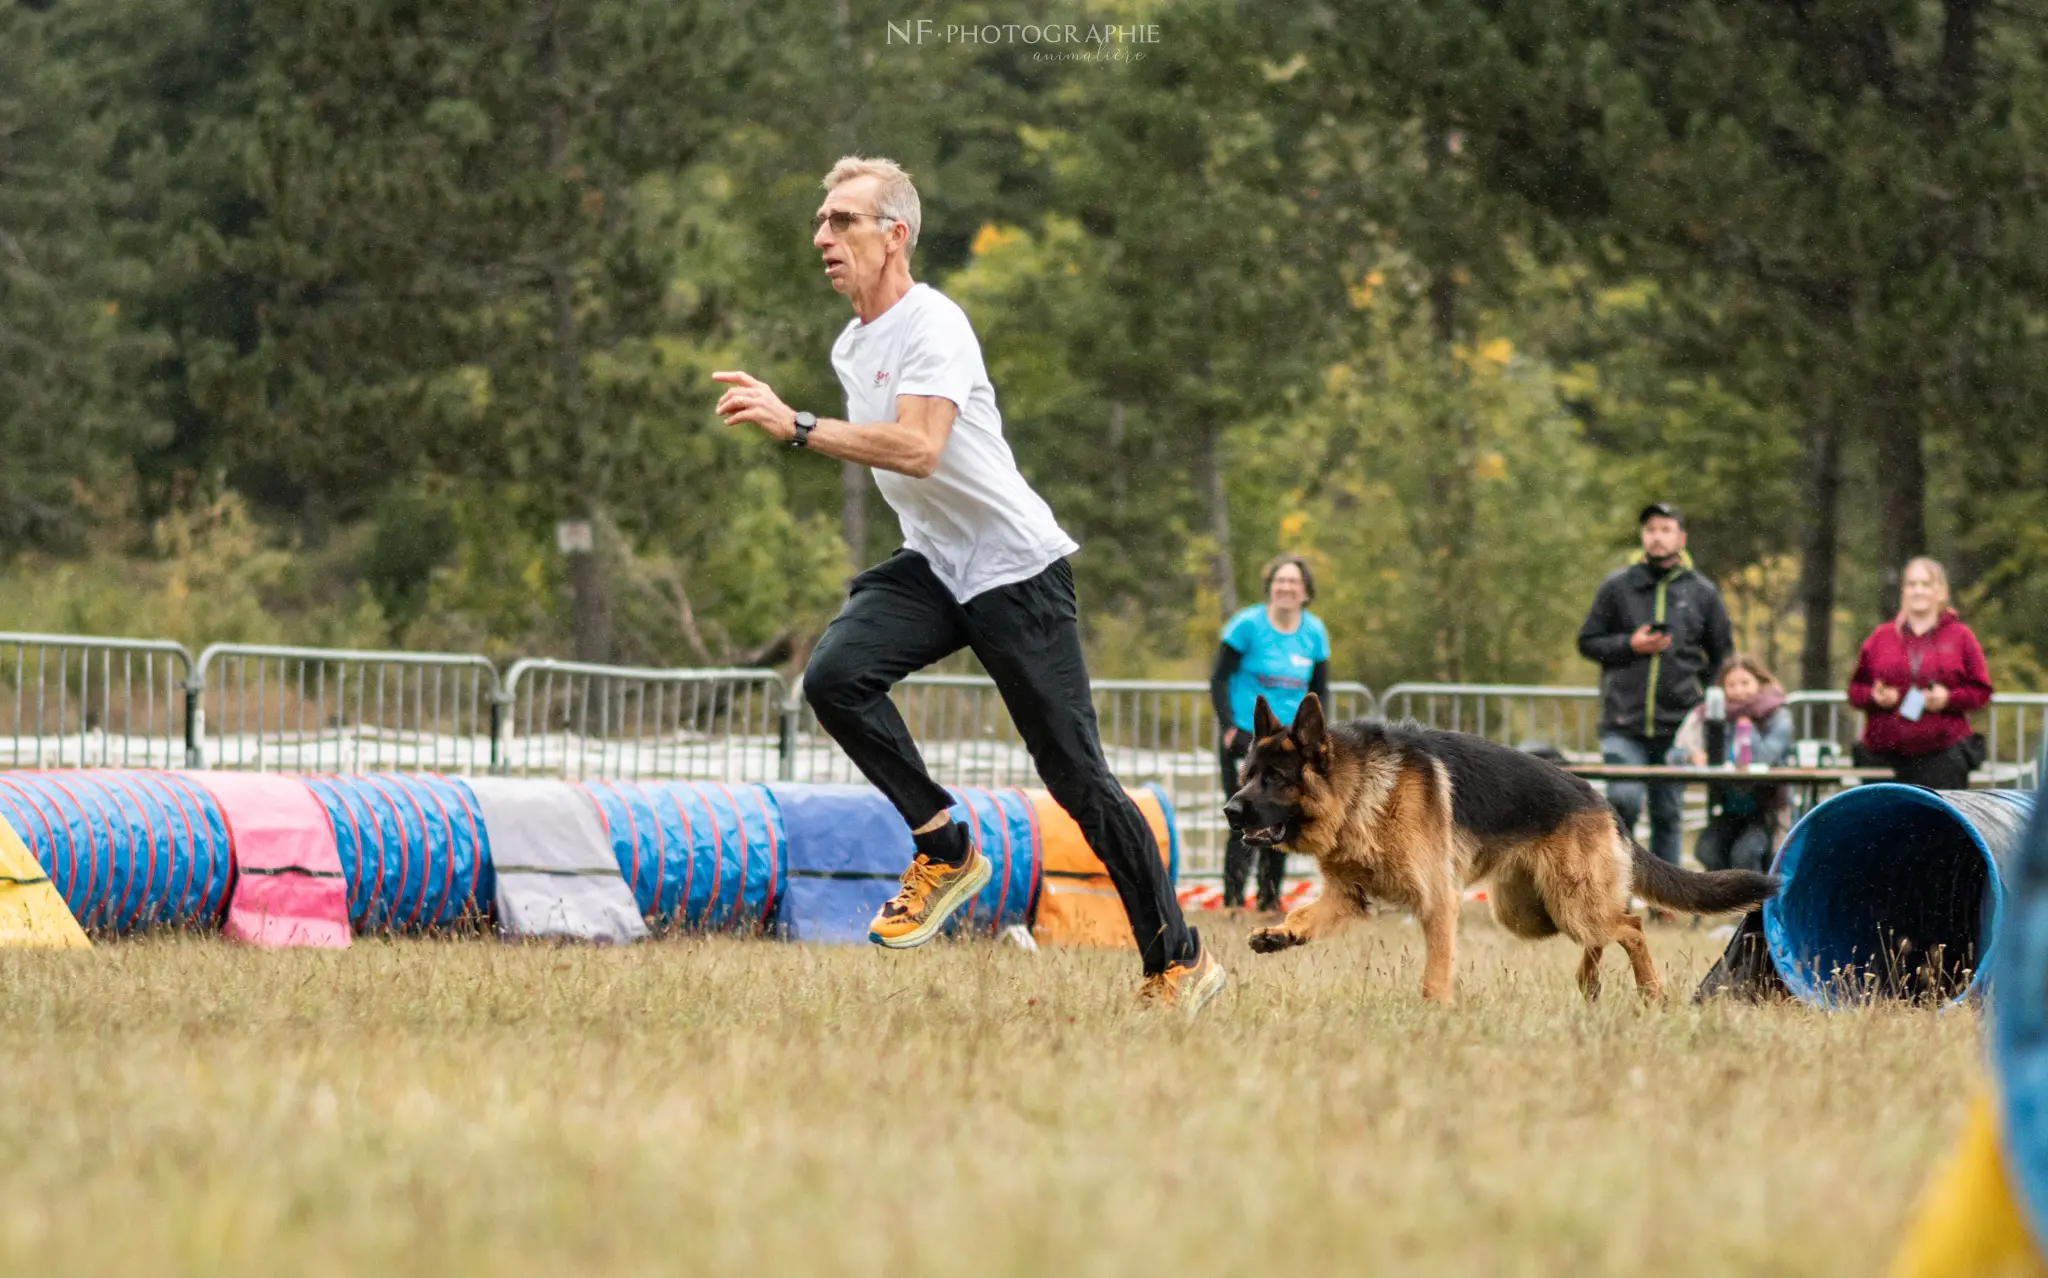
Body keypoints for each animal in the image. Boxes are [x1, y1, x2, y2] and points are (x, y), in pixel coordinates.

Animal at [1220, 692, 1785, 1003]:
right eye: (1247, 775)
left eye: (1275, 779)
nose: (1228, 810)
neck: (1359, 790)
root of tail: (1604, 802)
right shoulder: (1346, 897)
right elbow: (1304, 915)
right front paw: (1279, 933)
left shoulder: (1438, 903)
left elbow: (1436, 970)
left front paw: (1434, 1013)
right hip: (1530, 913)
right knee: (1606, 931)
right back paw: (1589, 985)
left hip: (1567, 901)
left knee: (1630, 925)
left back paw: (1650, 992)